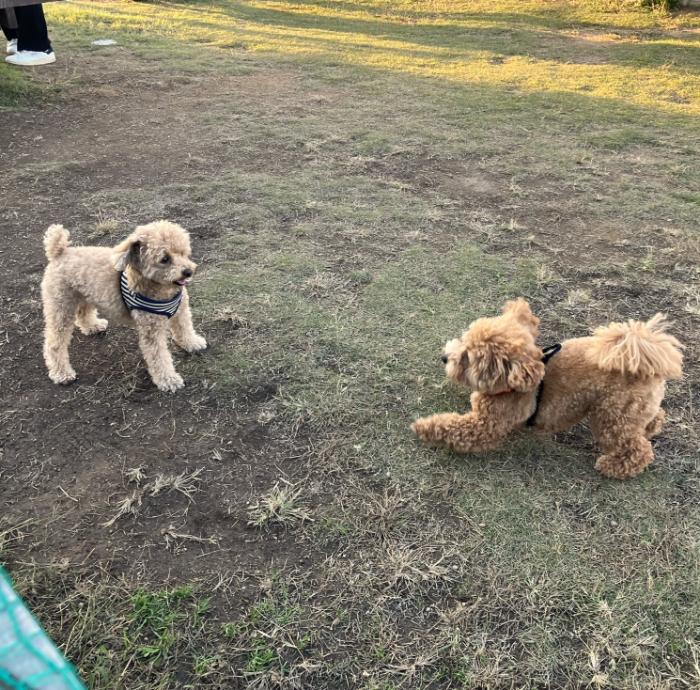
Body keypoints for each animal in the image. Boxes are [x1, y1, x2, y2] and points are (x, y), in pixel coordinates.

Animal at [41, 220, 207, 392]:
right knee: (54, 344)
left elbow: (184, 329)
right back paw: (62, 374)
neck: (163, 290)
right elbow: (159, 357)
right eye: (165, 259)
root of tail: (59, 252)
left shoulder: (181, 311)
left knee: (83, 314)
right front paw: (168, 379)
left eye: (183, 253)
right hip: (61, 307)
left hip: (84, 295)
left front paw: (192, 343)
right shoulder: (151, 330)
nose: (188, 272)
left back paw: (93, 326)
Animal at [411, 298, 683, 479]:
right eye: (464, 341)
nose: (444, 358)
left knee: (638, 449)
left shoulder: (486, 425)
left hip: (612, 416)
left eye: (469, 357)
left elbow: (453, 427)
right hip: (633, 409)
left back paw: (613, 466)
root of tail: (646, 365)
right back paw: (650, 428)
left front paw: (423, 427)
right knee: (654, 418)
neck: (511, 383)